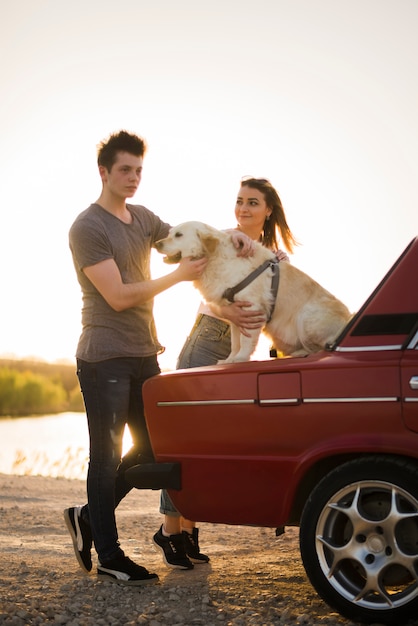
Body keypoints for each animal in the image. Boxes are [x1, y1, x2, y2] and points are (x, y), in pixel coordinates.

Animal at [155, 221, 352, 360]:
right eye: (170, 233)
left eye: (178, 235)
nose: (157, 244)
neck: (216, 258)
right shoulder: (235, 315)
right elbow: (235, 342)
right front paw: (230, 360)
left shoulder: (252, 308)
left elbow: (246, 340)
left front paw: (241, 358)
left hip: (306, 318)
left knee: (325, 347)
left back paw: (301, 352)